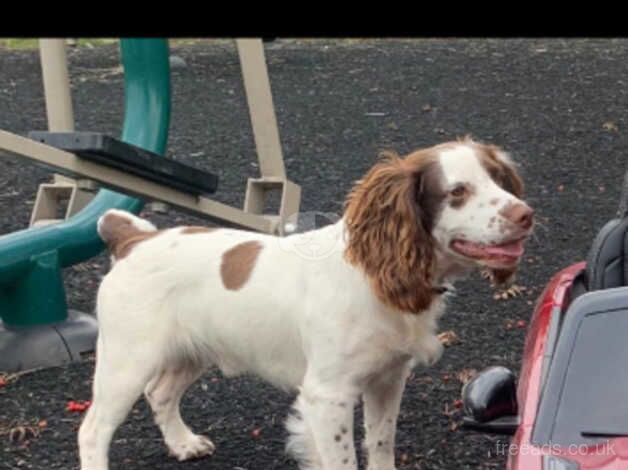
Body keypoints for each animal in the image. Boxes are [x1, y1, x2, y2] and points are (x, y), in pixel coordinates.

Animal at [76, 138, 532, 470]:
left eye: (499, 180)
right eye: (457, 192)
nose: (525, 214)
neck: (372, 274)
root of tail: (135, 238)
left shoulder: (387, 378)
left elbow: (380, 443)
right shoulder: (327, 395)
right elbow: (343, 460)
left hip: (191, 351)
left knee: (160, 393)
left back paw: (184, 443)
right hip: (126, 362)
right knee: (93, 429)